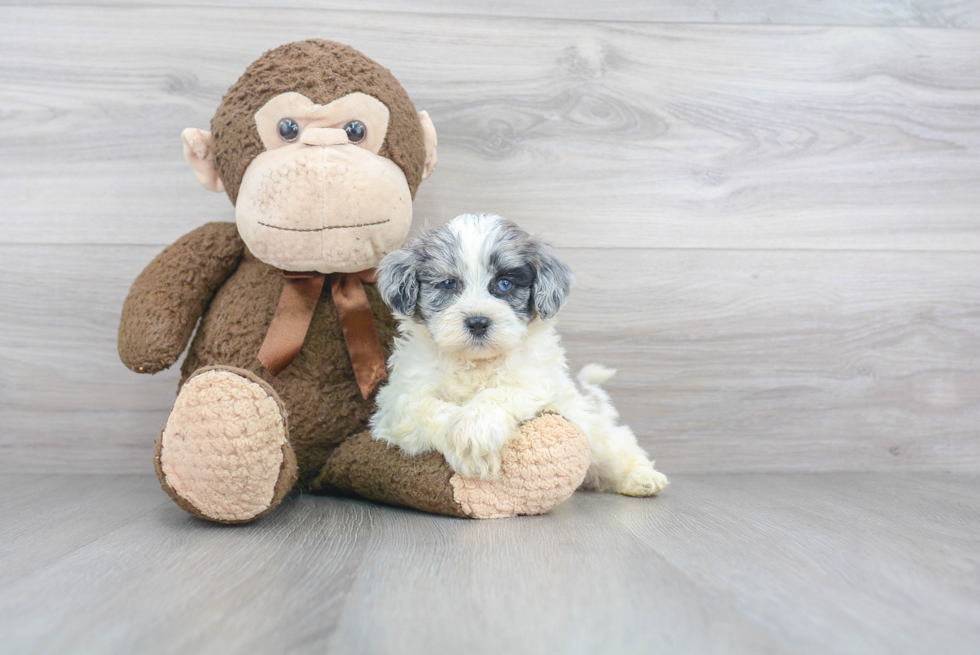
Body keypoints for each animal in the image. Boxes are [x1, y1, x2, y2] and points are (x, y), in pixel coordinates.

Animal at [372, 215, 668, 498]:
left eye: (505, 284)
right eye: (448, 284)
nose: (477, 322)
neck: (476, 364)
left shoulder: (535, 382)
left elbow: (501, 392)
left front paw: (475, 428)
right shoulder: (395, 401)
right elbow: (426, 407)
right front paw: (467, 448)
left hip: (599, 435)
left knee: (621, 453)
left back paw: (642, 479)